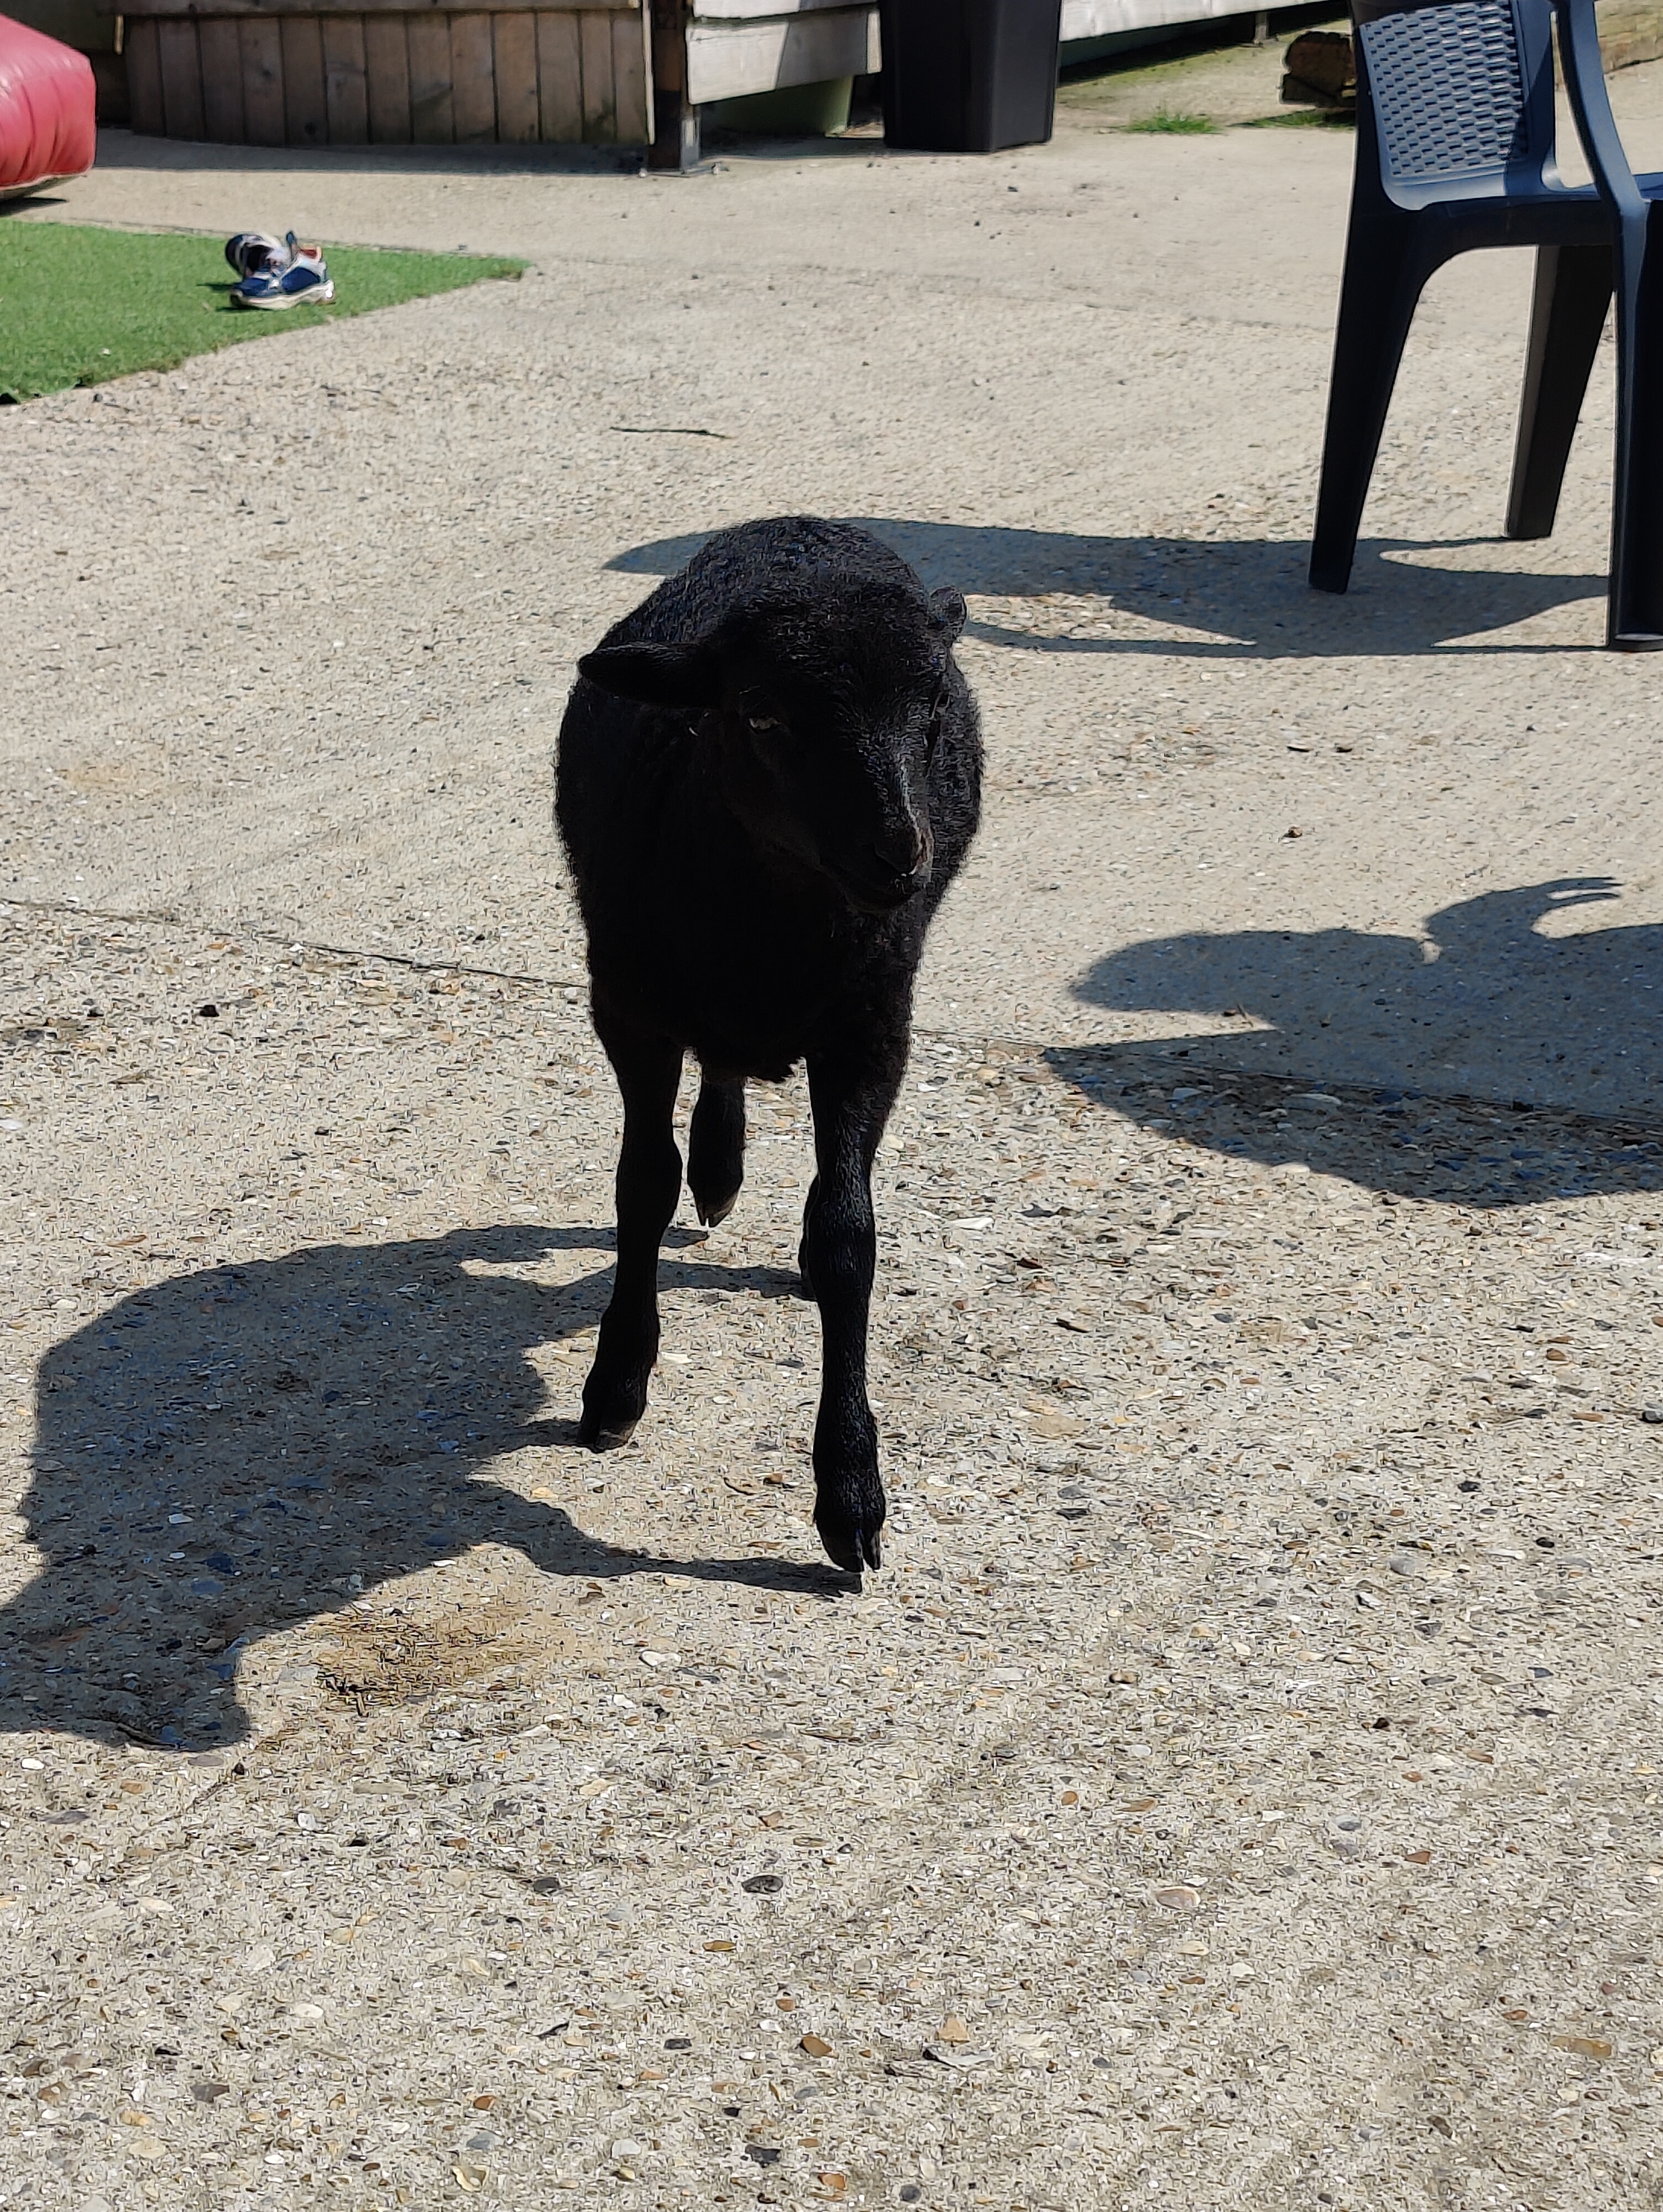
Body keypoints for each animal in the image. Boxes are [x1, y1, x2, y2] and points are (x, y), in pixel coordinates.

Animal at [554, 516, 983, 1573]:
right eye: (759, 715)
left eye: (931, 708)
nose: (898, 858)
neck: (773, 924)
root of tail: (797, 528)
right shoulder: (628, 1009)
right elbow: (641, 1188)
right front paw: (616, 1385)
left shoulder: (873, 1029)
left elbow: (845, 1235)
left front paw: (850, 1492)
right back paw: (718, 1167)